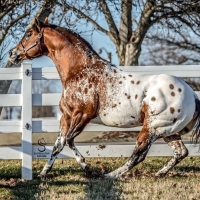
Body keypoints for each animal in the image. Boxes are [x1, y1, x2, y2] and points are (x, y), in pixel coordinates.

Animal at [8, 18, 200, 179]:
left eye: (28, 34)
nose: (12, 53)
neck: (79, 70)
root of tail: (192, 94)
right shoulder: (66, 116)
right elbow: (58, 145)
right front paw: (43, 174)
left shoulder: (83, 115)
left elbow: (69, 140)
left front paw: (88, 169)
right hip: (168, 130)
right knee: (180, 152)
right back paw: (159, 173)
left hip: (152, 127)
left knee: (139, 154)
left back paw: (110, 175)